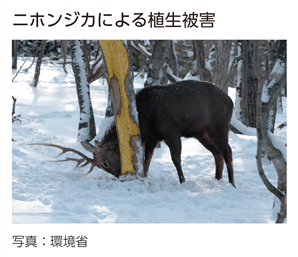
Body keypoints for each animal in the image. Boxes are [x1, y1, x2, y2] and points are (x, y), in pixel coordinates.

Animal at [29, 80, 235, 186]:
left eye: (104, 163)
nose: (120, 177)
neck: (145, 119)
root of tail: (231, 102)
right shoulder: (152, 138)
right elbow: (146, 160)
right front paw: (143, 177)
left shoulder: (170, 131)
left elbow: (176, 158)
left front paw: (183, 182)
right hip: (202, 134)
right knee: (217, 153)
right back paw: (218, 180)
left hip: (219, 126)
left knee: (228, 151)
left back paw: (232, 183)